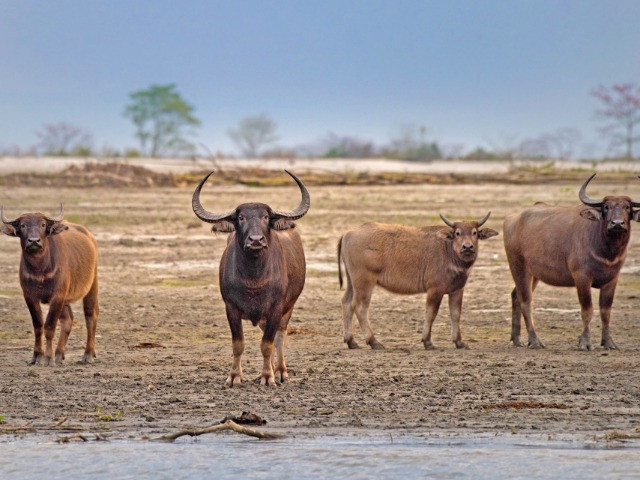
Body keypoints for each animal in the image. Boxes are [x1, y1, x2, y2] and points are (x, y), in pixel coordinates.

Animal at [1, 205, 99, 366]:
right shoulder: (29, 296)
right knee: (68, 319)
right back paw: (59, 354)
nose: (34, 241)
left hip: (92, 285)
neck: (40, 270)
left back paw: (88, 354)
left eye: (43, 224)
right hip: (66, 299)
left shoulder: (57, 295)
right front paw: (37, 356)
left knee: (91, 315)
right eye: (23, 225)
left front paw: (48, 358)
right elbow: (38, 326)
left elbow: (49, 326)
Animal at [192, 170, 310, 386]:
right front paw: (234, 377)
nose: (256, 240)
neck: (254, 279)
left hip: (288, 307)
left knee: (280, 336)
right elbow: (238, 344)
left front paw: (268, 377)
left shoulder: (276, 308)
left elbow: (268, 344)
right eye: (241, 217)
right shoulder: (231, 308)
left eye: (266, 217)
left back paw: (280, 372)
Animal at [337, 214, 498, 349]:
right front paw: (427, 342)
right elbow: (431, 313)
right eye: (457, 233)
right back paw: (374, 342)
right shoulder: (435, 290)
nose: (467, 247)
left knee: (347, 303)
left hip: (352, 282)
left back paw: (351, 341)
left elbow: (455, 314)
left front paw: (459, 342)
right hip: (364, 282)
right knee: (360, 307)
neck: (448, 251)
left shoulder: (457, 290)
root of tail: (348, 233)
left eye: (474, 233)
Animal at [504, 174, 639, 350]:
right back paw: (534, 341)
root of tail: (512, 219)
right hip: (519, 267)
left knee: (516, 296)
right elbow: (587, 311)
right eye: (606, 207)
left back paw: (517, 339)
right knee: (526, 302)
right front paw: (585, 343)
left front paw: (608, 342)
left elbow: (606, 312)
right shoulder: (582, 278)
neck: (606, 252)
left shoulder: (612, 280)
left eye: (627, 207)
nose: (617, 223)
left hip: (534, 274)